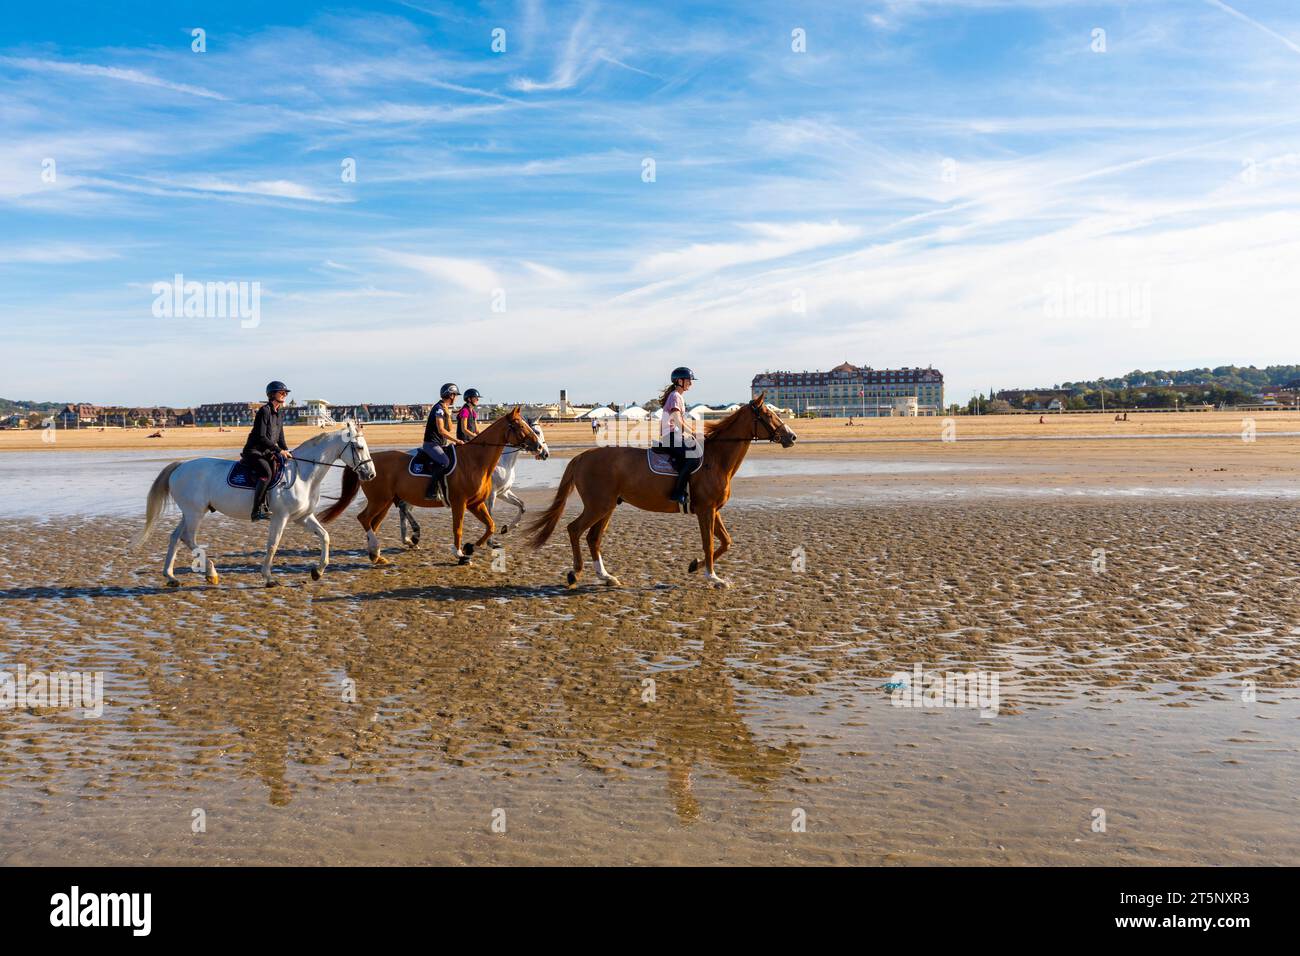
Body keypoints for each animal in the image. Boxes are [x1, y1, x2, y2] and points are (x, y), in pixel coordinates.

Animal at [131, 422, 377, 587]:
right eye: (358, 447)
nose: (371, 474)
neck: (302, 474)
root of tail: (181, 466)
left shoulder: (302, 517)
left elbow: (325, 536)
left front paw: (318, 571)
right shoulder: (281, 517)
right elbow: (273, 545)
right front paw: (268, 578)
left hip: (189, 513)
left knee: (175, 537)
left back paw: (171, 576)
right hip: (195, 513)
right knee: (188, 538)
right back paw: (211, 573)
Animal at [394, 419, 549, 548]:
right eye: (536, 431)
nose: (544, 452)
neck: (500, 462)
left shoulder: (503, 493)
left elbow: (522, 506)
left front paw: (506, 528)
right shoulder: (491, 495)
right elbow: (491, 515)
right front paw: (491, 542)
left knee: (404, 509)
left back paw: (409, 539)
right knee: (403, 508)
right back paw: (412, 537)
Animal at [524, 393, 796, 588]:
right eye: (768, 414)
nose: (791, 436)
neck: (716, 459)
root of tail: (582, 456)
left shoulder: (713, 510)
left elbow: (725, 542)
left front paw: (695, 566)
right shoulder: (706, 510)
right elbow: (709, 543)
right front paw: (713, 578)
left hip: (608, 506)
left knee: (593, 537)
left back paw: (606, 577)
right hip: (598, 506)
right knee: (574, 530)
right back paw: (575, 573)